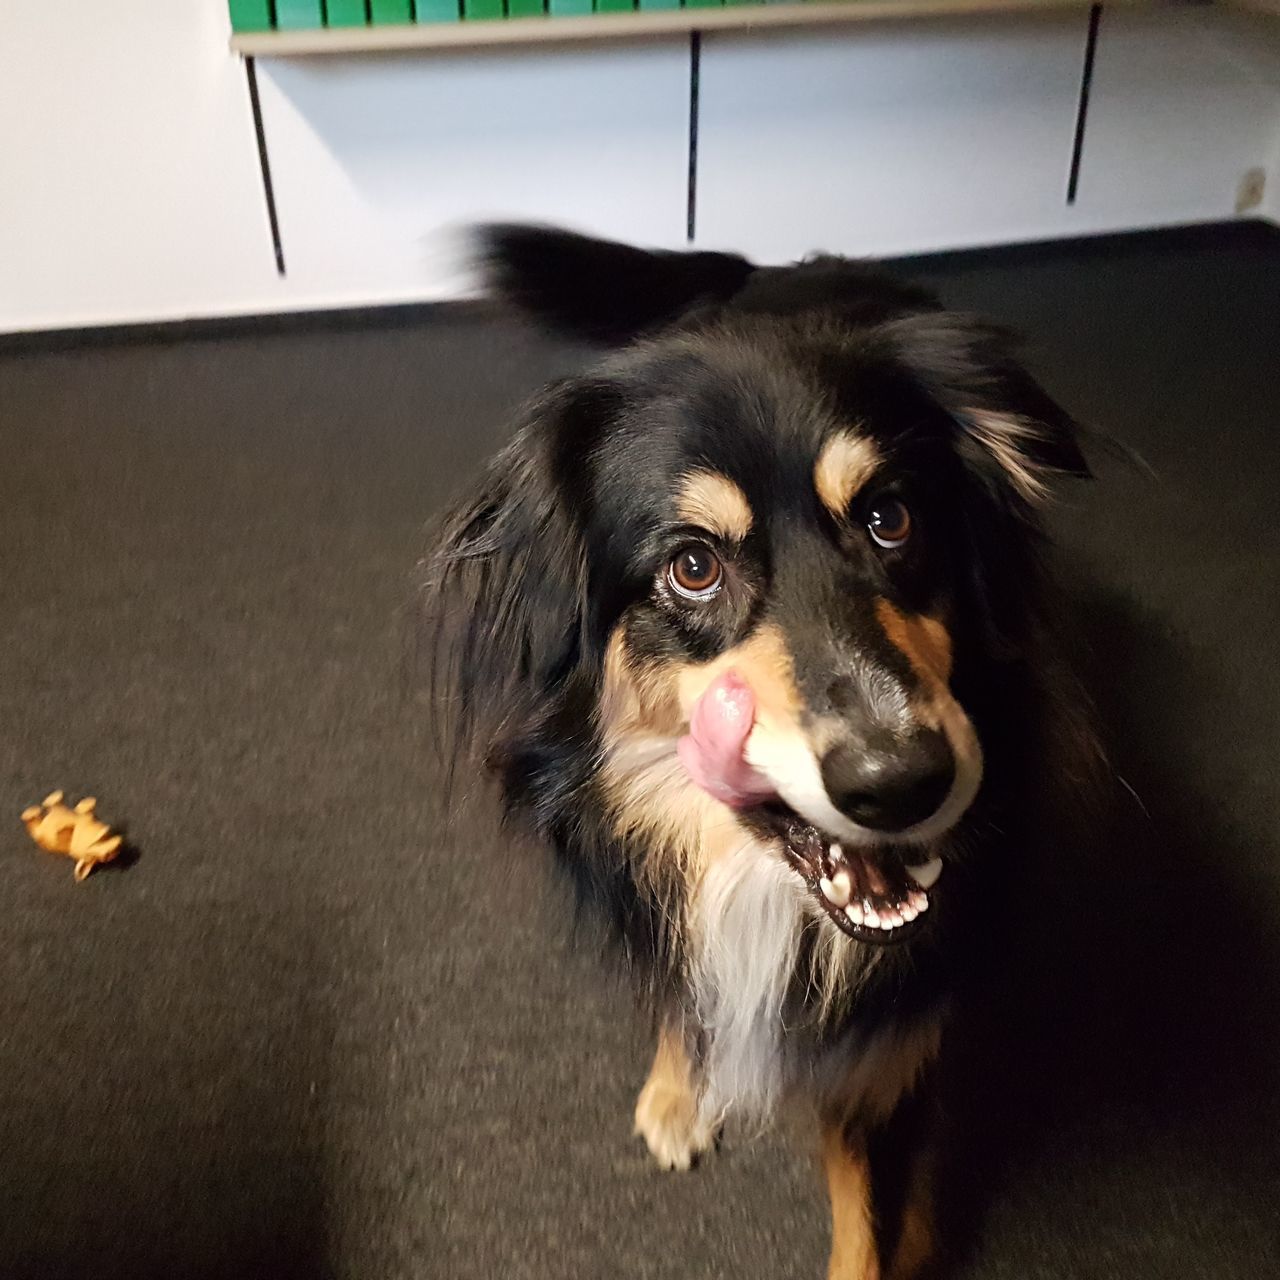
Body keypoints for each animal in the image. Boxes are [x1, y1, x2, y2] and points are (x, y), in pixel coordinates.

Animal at [422, 225, 1100, 1274]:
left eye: (892, 518)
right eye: (694, 567)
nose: (905, 782)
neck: (769, 897)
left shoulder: (886, 1067)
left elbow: (870, 1236)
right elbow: (679, 986)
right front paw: (679, 1086)